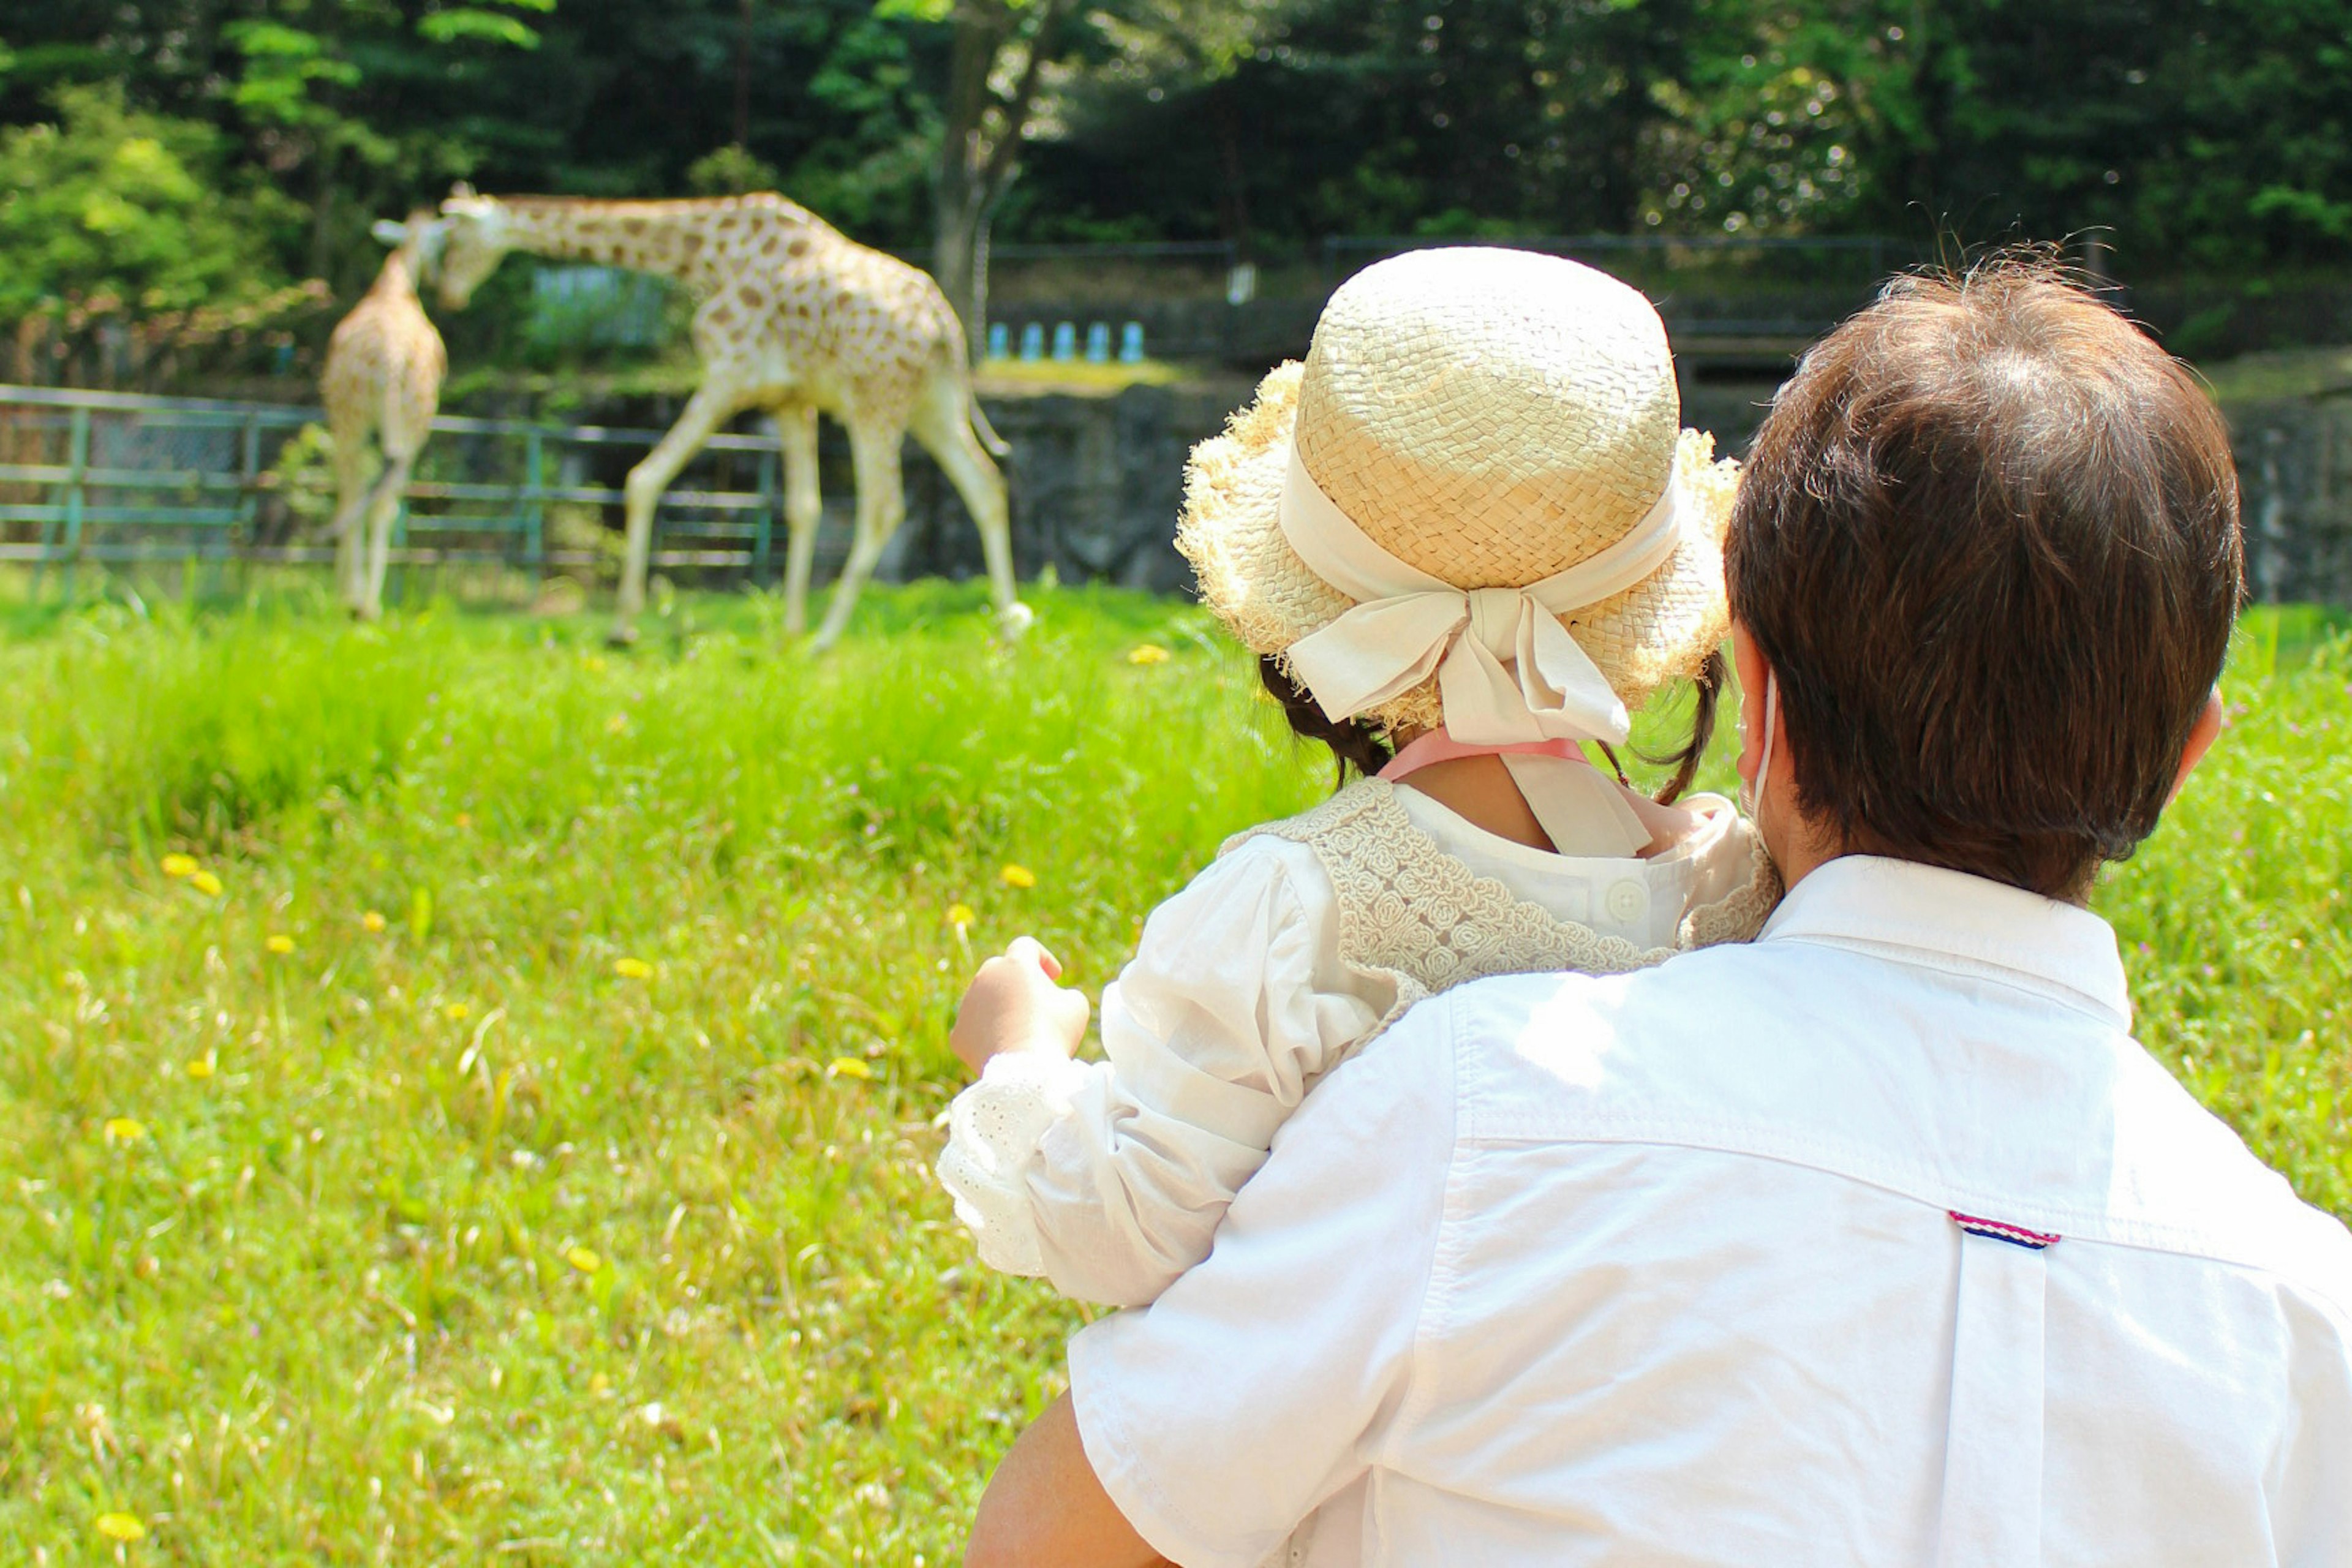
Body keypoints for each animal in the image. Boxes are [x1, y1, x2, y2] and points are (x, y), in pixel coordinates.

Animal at [320, 210, 447, 625]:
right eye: (441, 242)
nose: (437, 276)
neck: (393, 288)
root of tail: (392, 357)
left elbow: (350, 495)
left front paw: (344, 592)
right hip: (405, 424)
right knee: (380, 497)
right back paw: (366, 602)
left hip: (360, 421)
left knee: (364, 495)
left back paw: (362, 602)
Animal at [437, 191, 1025, 649]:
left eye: (455, 240)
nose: (450, 295)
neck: (705, 251)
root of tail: (946, 324)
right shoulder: (789, 399)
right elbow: (803, 507)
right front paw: (786, 632)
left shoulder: (727, 374)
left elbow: (643, 477)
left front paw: (623, 628)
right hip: (933, 405)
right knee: (986, 485)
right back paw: (1008, 631)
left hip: (873, 402)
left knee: (884, 507)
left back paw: (827, 638)